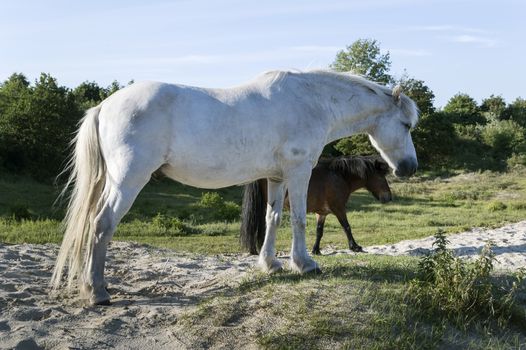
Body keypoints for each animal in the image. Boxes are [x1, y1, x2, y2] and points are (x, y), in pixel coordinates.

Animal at [241, 156, 394, 254]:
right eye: (381, 177)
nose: (388, 197)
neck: (339, 176)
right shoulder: (339, 208)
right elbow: (347, 227)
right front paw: (355, 247)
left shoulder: (321, 213)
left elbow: (319, 231)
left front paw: (316, 250)